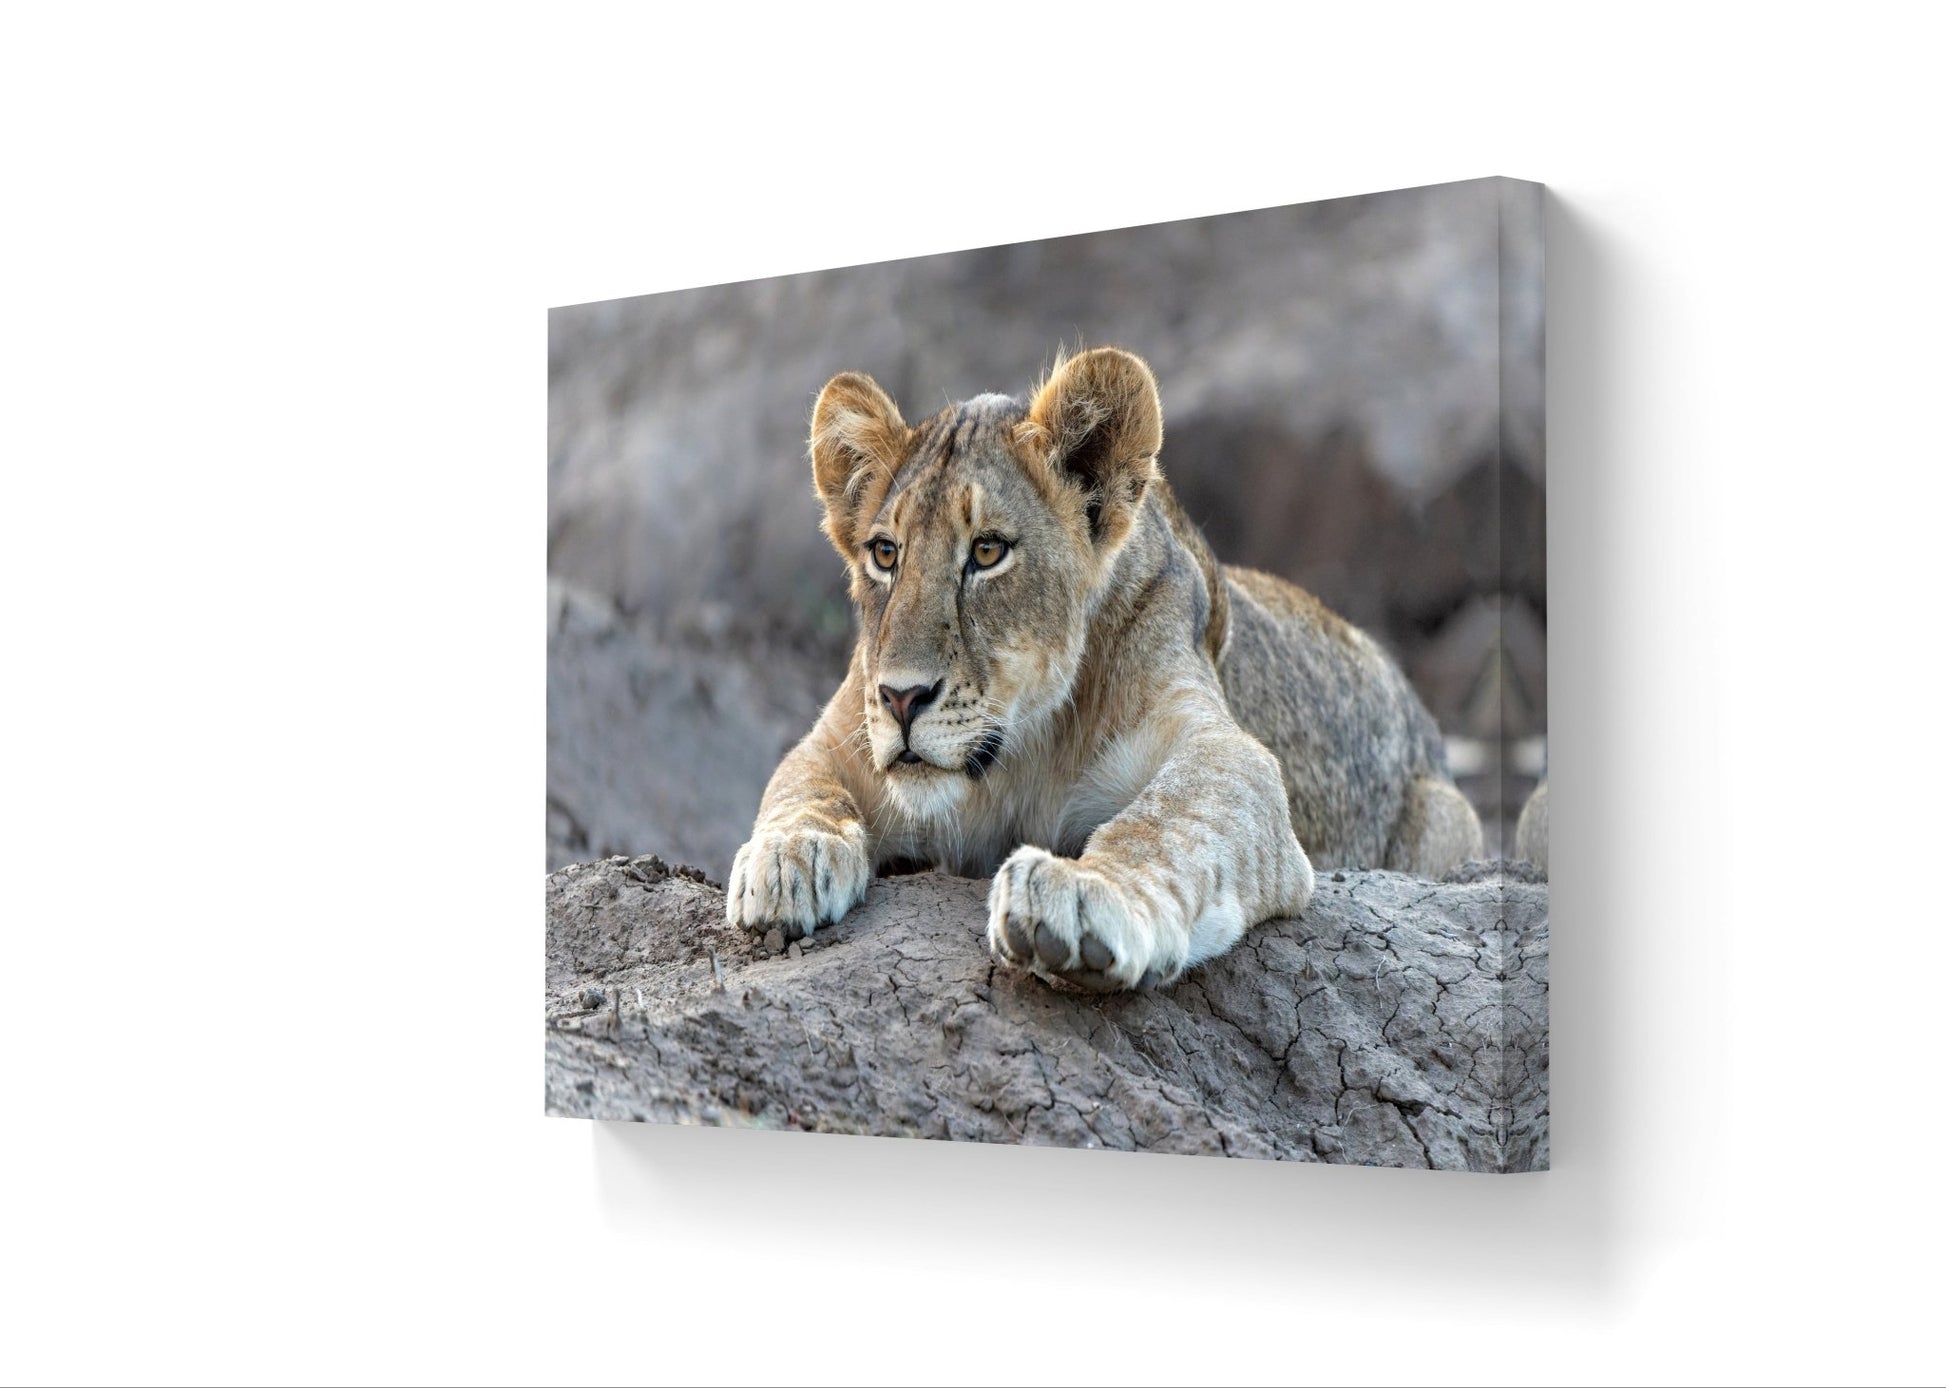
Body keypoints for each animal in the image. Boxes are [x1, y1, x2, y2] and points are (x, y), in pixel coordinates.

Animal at [726, 347, 1482, 991]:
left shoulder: (1225, 751)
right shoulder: (841, 733)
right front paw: (788, 860)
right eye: (885, 554)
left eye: (988, 551)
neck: (1019, 757)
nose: (902, 698)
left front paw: (1082, 894)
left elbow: (1166, 821)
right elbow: (798, 786)